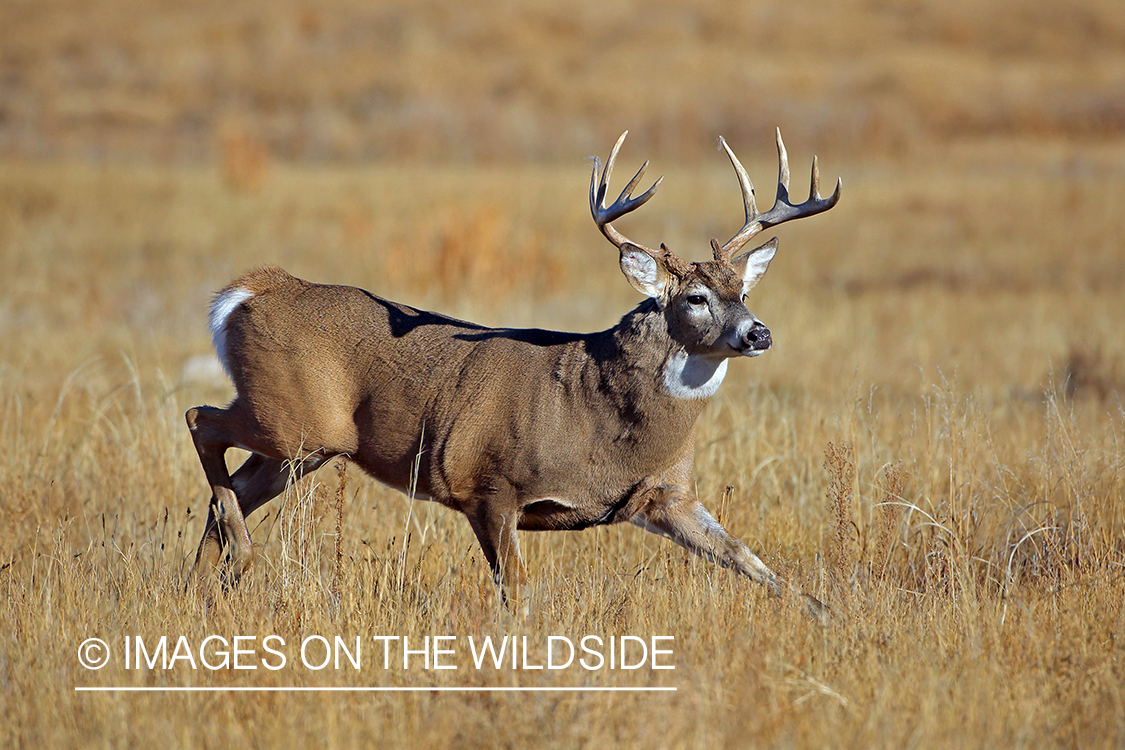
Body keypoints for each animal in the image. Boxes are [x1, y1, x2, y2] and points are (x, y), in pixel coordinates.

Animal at [186, 129, 837, 611]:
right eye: (697, 298)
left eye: (743, 292)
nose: (758, 333)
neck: (598, 418)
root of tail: (251, 291)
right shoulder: (487, 483)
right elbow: (518, 595)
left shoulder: (667, 495)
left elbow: (758, 566)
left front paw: (832, 619)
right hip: (296, 421)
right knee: (200, 419)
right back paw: (238, 559)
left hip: (304, 446)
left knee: (231, 491)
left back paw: (205, 587)